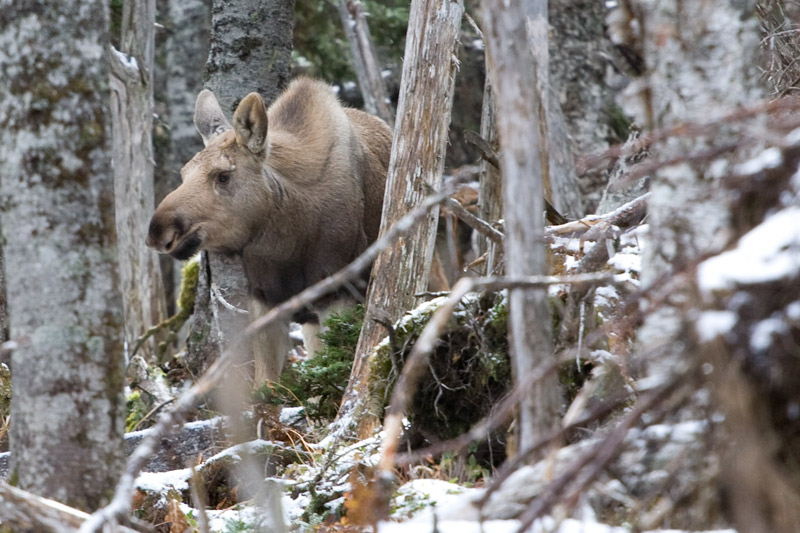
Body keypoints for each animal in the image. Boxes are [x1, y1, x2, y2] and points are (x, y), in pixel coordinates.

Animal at [147, 77, 392, 383]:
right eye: (183, 173)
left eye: (223, 176)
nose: (159, 232)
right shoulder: (264, 298)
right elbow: (265, 384)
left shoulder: (338, 294)